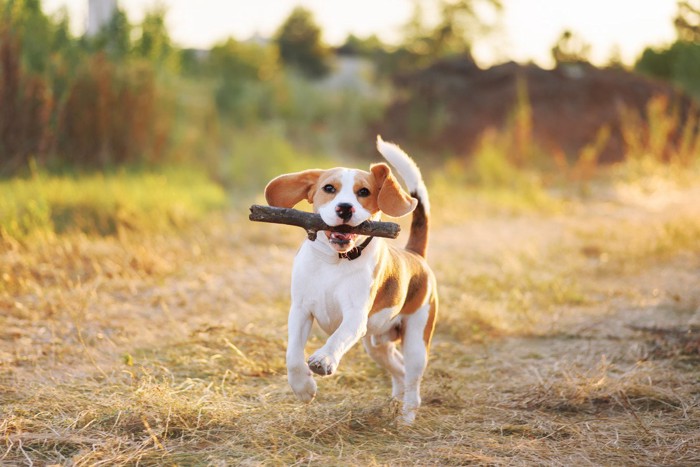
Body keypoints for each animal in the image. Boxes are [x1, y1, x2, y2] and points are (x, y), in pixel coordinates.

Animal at [264, 135, 438, 424]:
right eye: (329, 188)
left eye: (364, 192)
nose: (344, 208)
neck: (335, 262)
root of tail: (415, 254)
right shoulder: (300, 310)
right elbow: (292, 355)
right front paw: (303, 388)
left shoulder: (355, 318)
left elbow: (338, 338)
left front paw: (324, 359)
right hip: (376, 345)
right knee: (399, 369)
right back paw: (394, 402)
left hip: (416, 338)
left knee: (413, 378)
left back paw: (405, 418)